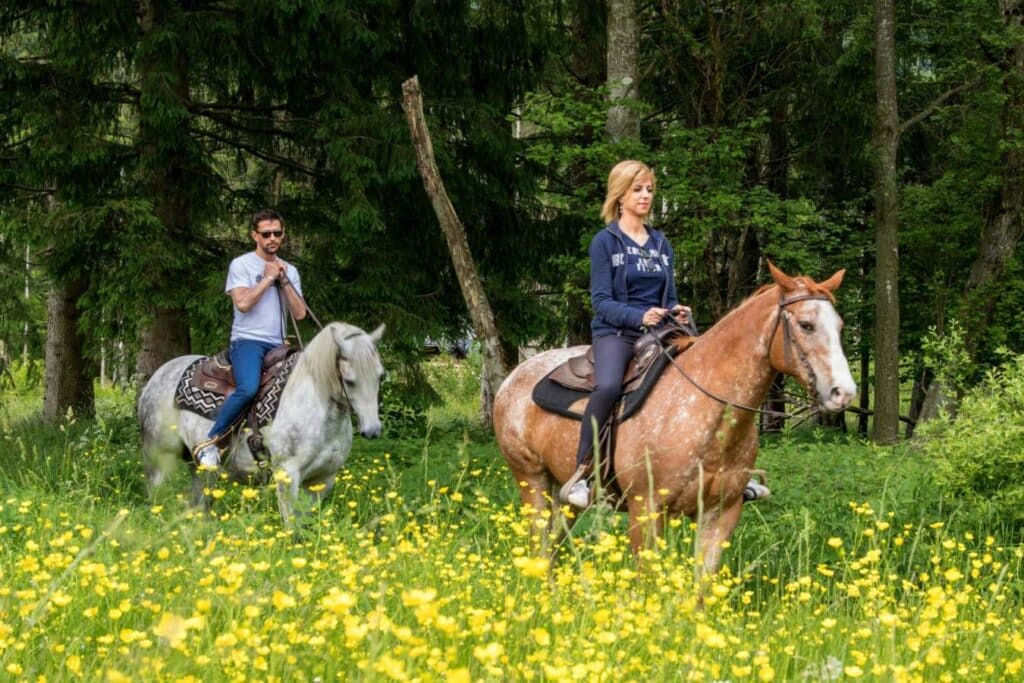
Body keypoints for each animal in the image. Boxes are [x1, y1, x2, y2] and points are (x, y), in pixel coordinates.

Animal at [138, 321, 385, 528]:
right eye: (350, 381)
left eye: (380, 376)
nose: (372, 430)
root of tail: (156, 377)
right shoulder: (287, 473)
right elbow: (291, 526)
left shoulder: (323, 479)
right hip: (160, 458)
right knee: (156, 498)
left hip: (201, 470)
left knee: (199, 505)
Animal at [493, 264, 856, 573]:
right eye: (806, 325)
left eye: (839, 327)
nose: (844, 392)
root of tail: (511, 381)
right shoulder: (645, 511)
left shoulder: (721, 513)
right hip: (533, 482)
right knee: (540, 548)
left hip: (567, 497)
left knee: (553, 548)